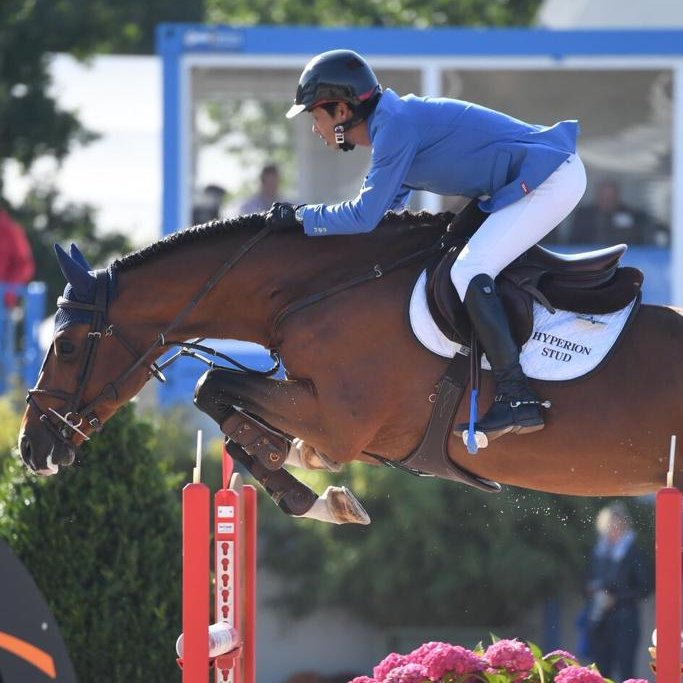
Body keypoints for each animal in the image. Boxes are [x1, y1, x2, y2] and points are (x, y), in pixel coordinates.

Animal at [17, 209, 683, 503]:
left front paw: (302, 490)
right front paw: (287, 467)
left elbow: (213, 388)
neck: (321, 288)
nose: (31, 449)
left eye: (67, 346)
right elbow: (225, 401)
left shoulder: (340, 421)